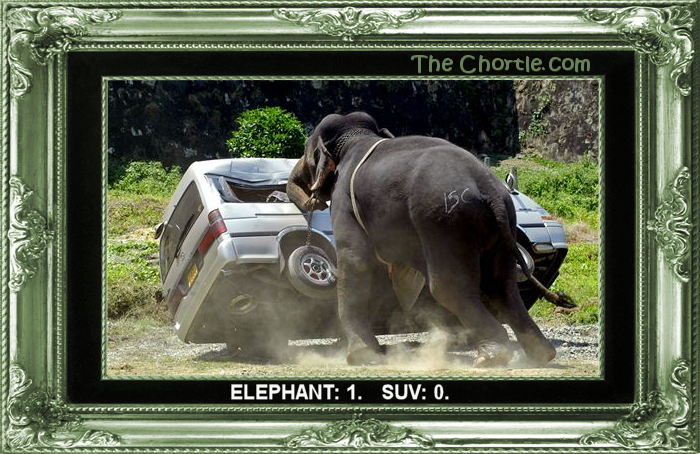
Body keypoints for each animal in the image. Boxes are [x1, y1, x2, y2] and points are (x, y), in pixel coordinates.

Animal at [287, 111, 567, 367]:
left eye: (306, 150)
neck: (358, 137)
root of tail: (491, 191)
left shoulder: (344, 200)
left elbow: (357, 261)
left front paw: (361, 357)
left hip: (444, 224)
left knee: (449, 287)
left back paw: (492, 357)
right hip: (502, 225)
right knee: (502, 285)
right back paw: (541, 355)